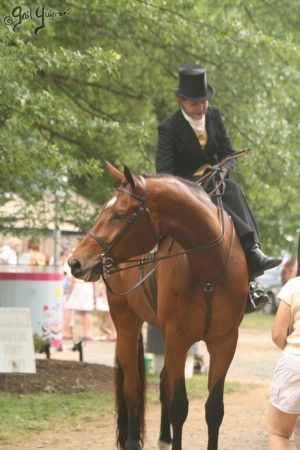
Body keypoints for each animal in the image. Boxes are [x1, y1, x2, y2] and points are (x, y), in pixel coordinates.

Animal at [68, 162, 248, 450]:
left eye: (119, 214)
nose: (75, 262)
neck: (209, 268)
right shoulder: (178, 338)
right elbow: (179, 406)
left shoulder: (224, 342)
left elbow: (214, 409)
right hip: (127, 326)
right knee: (132, 388)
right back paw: (132, 441)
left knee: (163, 382)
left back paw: (164, 438)